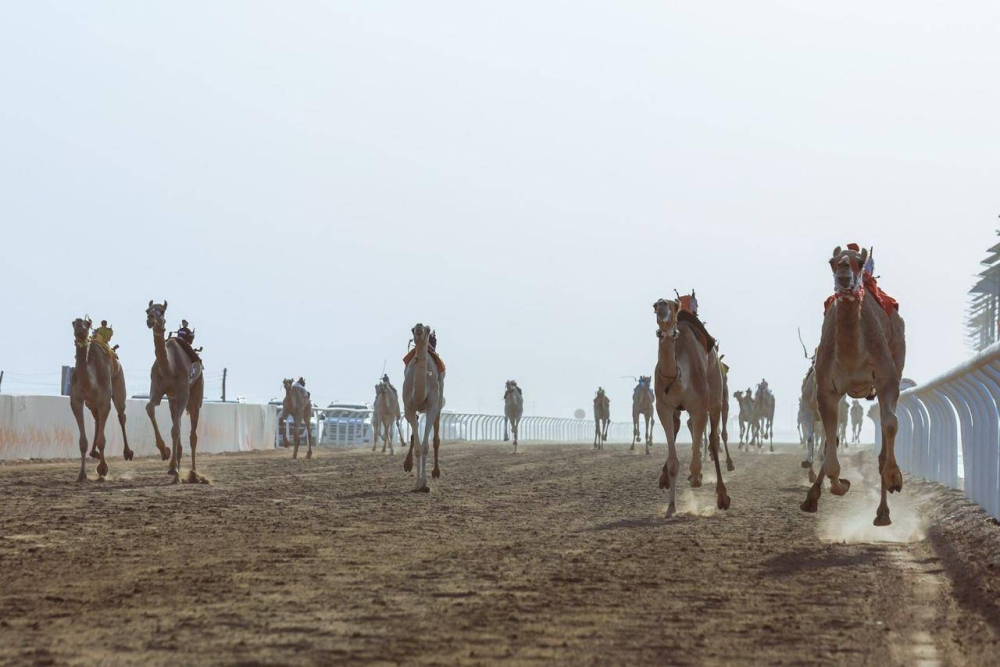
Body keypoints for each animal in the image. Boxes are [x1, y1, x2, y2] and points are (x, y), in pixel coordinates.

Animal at [69, 318, 133, 480]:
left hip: (119, 382)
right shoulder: (76, 401)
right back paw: (94, 454)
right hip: (91, 403)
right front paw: (82, 474)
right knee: (97, 420)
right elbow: (82, 442)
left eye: (86, 324)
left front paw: (103, 469)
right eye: (74, 323)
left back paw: (128, 453)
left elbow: (102, 440)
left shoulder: (104, 402)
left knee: (121, 415)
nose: (80, 330)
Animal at [144, 302, 206, 486]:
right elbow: (150, 408)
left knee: (193, 435)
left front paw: (177, 473)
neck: (169, 367)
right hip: (173, 400)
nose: (150, 320)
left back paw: (193, 473)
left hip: (196, 395)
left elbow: (176, 429)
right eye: (147, 310)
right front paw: (165, 452)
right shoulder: (158, 390)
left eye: (162, 311)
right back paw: (174, 468)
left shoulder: (183, 392)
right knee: (177, 426)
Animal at [402, 326, 446, 494]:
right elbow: (418, 447)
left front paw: (425, 483)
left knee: (436, 439)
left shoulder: (432, 406)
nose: (420, 327)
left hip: (439, 402)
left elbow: (426, 446)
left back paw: (436, 471)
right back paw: (407, 464)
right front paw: (417, 484)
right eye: (413, 329)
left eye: (427, 330)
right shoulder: (408, 407)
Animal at [652, 298, 732, 520]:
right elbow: (673, 462)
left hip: (716, 394)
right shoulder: (663, 406)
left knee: (714, 438)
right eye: (654, 306)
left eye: (673, 306)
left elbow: (700, 449)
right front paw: (671, 508)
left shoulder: (700, 406)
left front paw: (696, 477)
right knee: (679, 425)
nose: (661, 305)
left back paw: (722, 496)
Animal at [800, 245, 912, 528]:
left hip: (897, 357)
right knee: (832, 440)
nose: (843, 270)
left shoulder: (887, 379)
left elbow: (890, 425)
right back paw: (812, 497)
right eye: (831, 262)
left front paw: (894, 477)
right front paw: (840, 484)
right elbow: (830, 443)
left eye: (859, 263)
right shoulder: (826, 391)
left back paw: (883, 513)